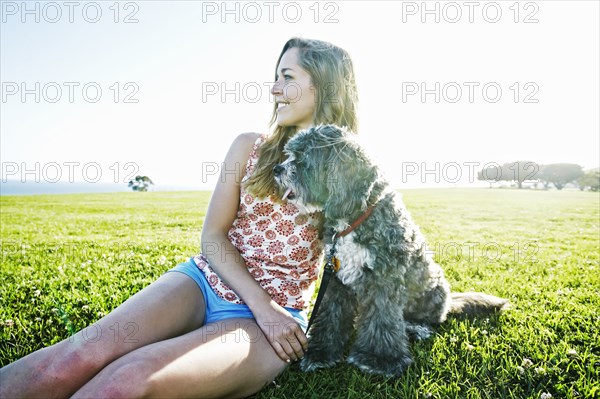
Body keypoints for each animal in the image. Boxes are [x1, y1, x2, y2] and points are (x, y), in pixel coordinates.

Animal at [274, 125, 508, 378]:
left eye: (303, 158)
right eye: (290, 154)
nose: (277, 169)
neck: (353, 220)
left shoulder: (384, 279)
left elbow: (381, 319)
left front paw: (378, 360)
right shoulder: (336, 280)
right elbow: (331, 315)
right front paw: (321, 352)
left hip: (433, 291)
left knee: (428, 320)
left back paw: (416, 329)